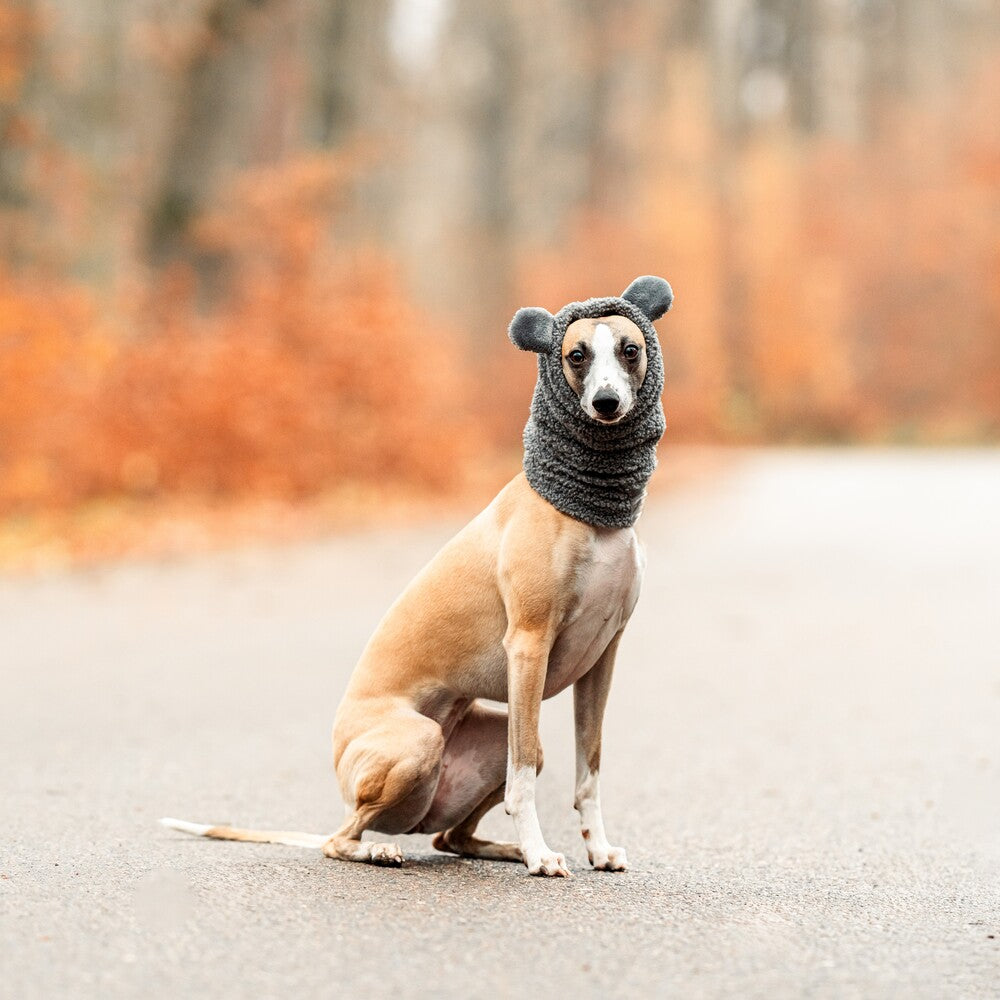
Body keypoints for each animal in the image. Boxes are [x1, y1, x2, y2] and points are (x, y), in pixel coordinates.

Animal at [164, 274, 676, 876]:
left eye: (630, 349)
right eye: (575, 355)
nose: (606, 404)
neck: (590, 516)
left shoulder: (603, 657)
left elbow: (589, 768)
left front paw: (596, 848)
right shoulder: (529, 646)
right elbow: (523, 775)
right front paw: (541, 854)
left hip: (478, 745)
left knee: (449, 837)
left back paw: (498, 849)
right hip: (416, 742)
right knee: (341, 837)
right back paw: (383, 848)